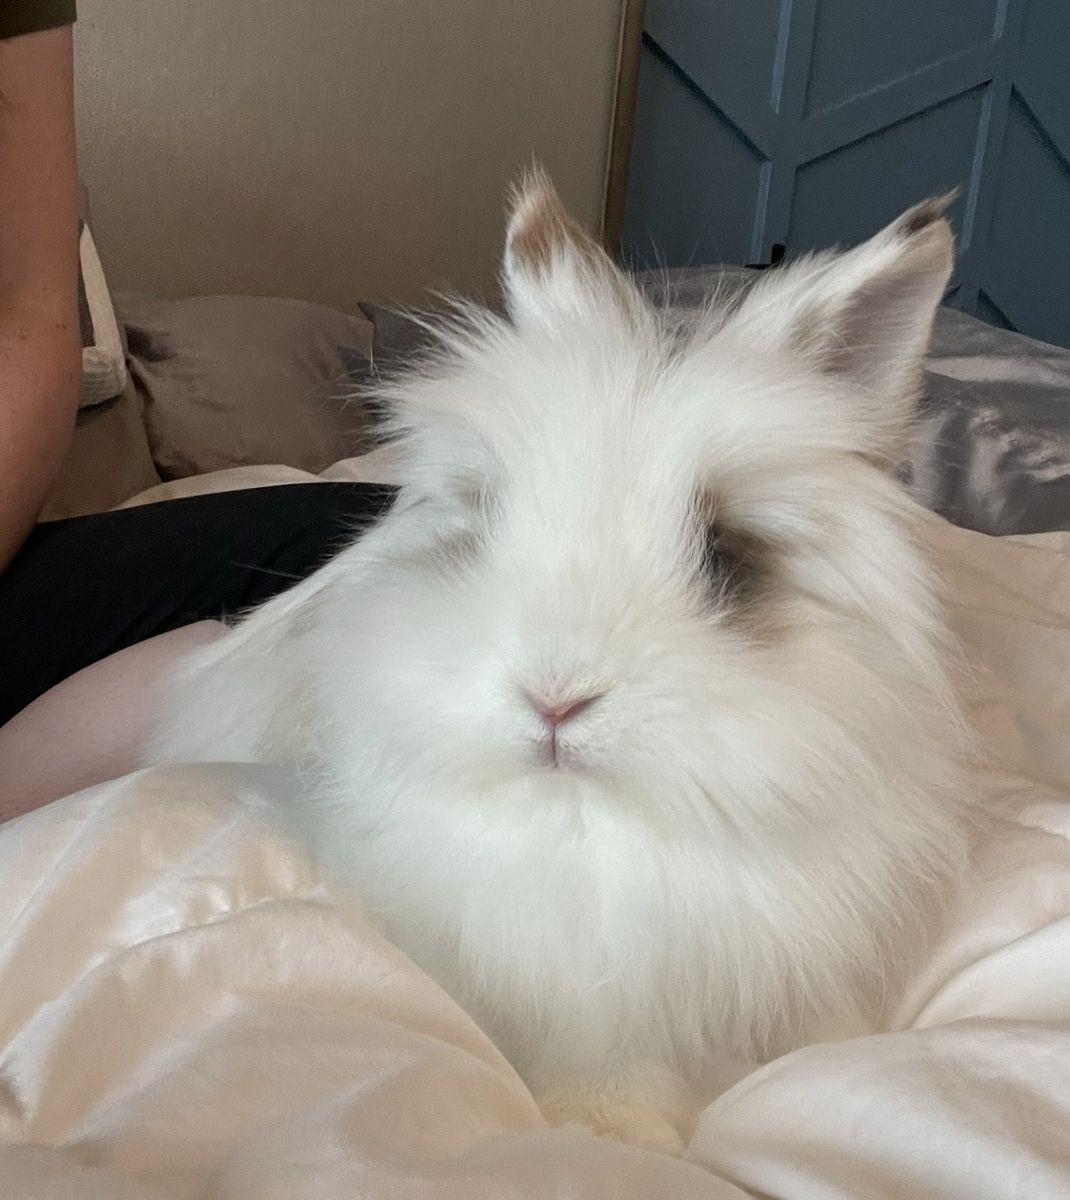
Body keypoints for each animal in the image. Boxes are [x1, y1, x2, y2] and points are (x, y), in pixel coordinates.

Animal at [146, 171, 973, 1154]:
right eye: (483, 524)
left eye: (725, 557)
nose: (554, 699)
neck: (595, 826)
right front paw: (613, 1135)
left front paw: (839, 1061)